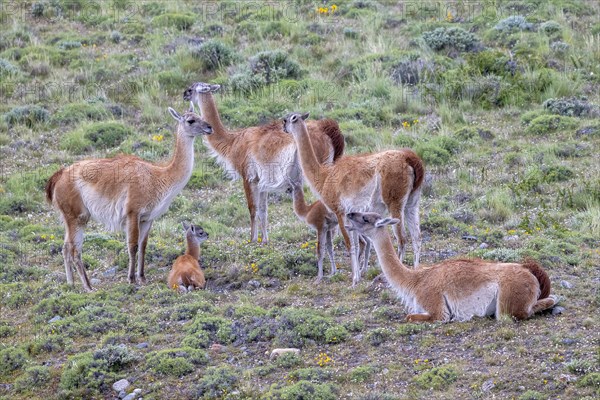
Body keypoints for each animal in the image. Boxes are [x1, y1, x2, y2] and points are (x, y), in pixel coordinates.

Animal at [45, 104, 212, 290]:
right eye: (191, 120)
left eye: (200, 115)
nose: (209, 127)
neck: (159, 178)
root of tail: (59, 175)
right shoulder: (133, 211)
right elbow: (132, 246)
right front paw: (131, 279)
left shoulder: (147, 218)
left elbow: (143, 246)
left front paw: (142, 277)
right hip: (76, 216)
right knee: (75, 250)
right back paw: (88, 287)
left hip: (70, 217)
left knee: (65, 247)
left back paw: (71, 284)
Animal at [346, 212, 556, 322]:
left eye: (365, 218)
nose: (349, 214)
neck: (415, 281)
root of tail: (530, 272)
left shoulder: (437, 309)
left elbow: (410, 317)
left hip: (507, 303)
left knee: (537, 306)